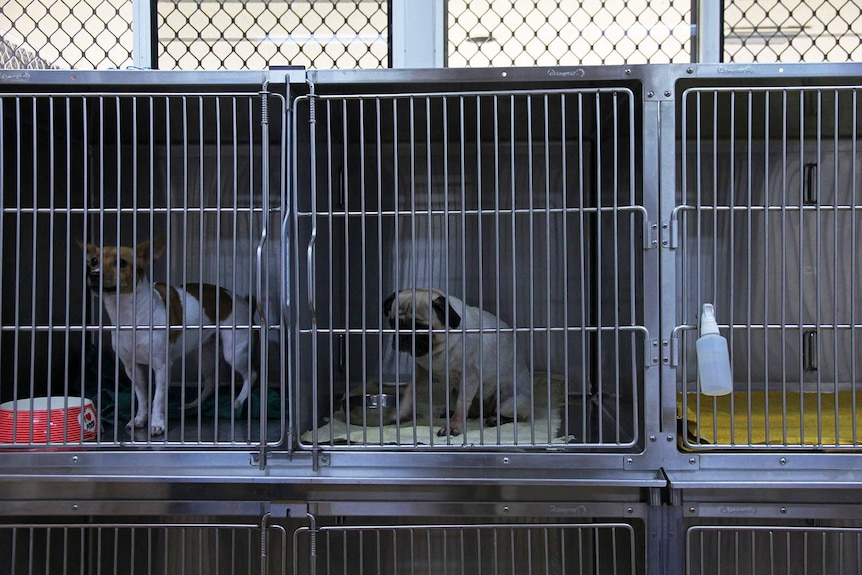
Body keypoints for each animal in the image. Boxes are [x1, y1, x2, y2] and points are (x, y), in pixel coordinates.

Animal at [79, 238, 258, 436]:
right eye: (93, 261)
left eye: (121, 263)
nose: (94, 274)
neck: (128, 314)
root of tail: (243, 302)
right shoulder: (132, 368)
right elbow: (142, 397)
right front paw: (140, 418)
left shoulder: (162, 367)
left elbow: (157, 398)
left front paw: (157, 423)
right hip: (206, 355)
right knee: (212, 382)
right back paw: (193, 405)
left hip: (234, 352)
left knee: (252, 375)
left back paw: (239, 401)